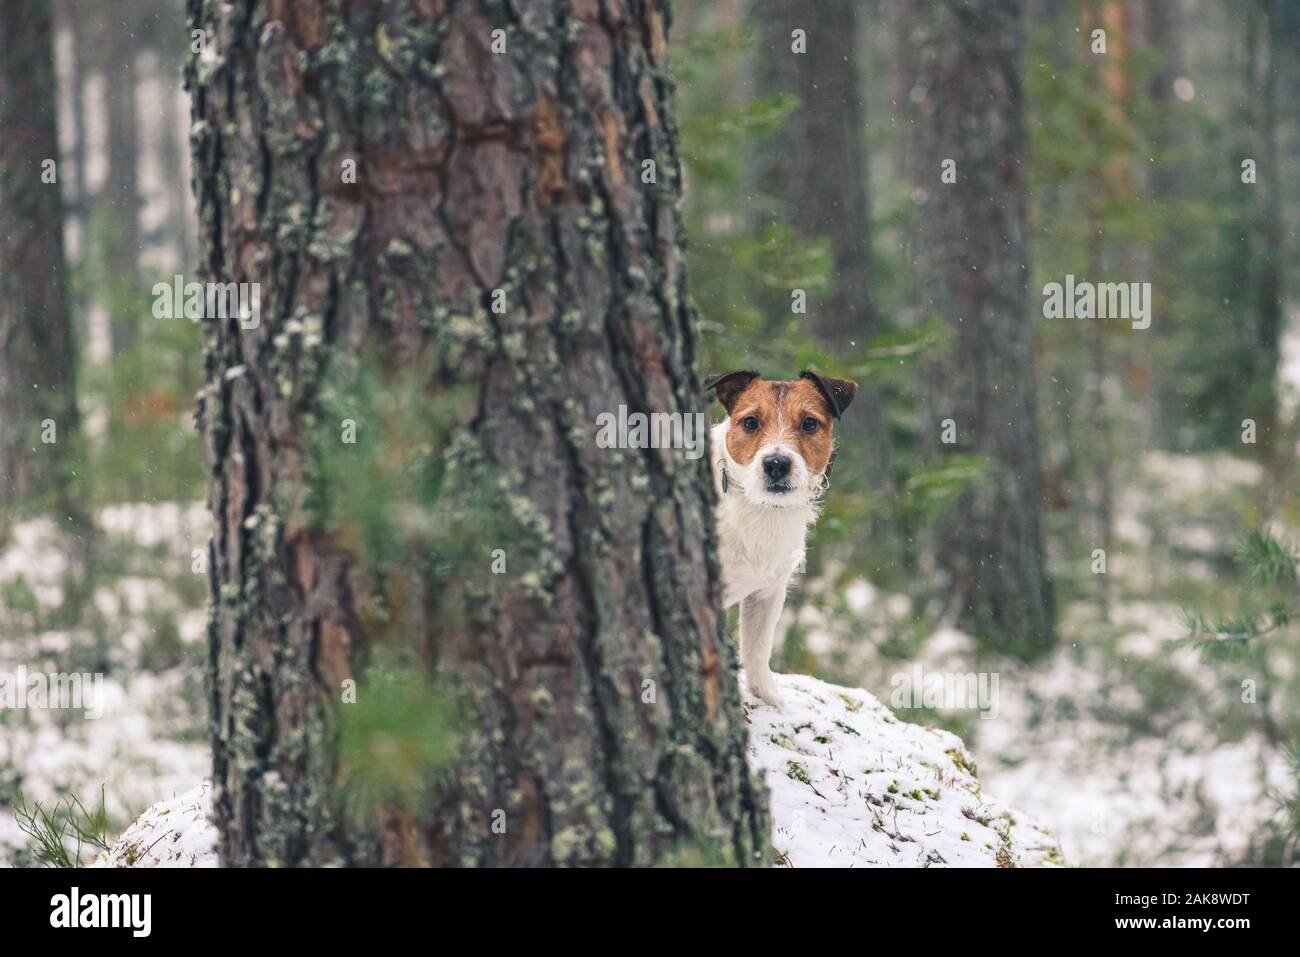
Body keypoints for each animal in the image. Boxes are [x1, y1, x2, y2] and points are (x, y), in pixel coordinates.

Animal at [707, 369, 857, 707]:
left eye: (810, 423)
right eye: (750, 422)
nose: (776, 463)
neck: (759, 508)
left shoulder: (767, 593)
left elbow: (758, 648)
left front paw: (768, 697)